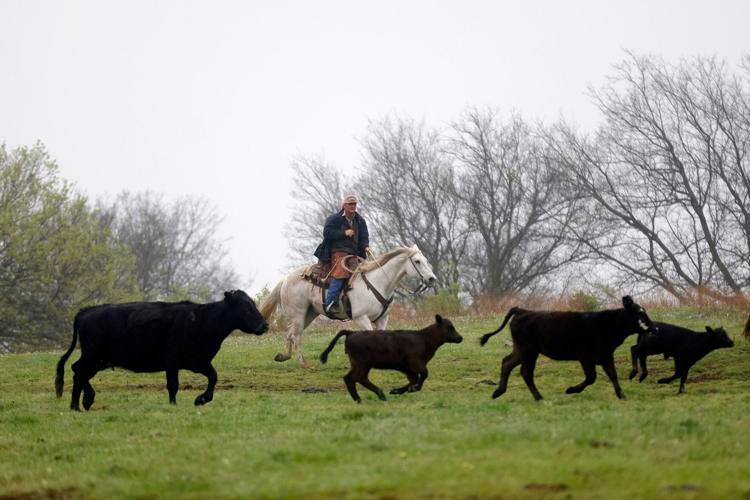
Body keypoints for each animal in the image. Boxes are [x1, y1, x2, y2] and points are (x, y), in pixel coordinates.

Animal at [55, 290, 268, 410]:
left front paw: (201, 399)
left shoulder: (199, 361)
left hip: (97, 360)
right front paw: (174, 406)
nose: (265, 325)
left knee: (77, 373)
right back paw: (86, 400)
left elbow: (213, 377)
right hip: (93, 354)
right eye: (246, 308)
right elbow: (173, 385)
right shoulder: (172, 360)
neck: (201, 320)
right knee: (78, 370)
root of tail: (86, 311)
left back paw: (75, 406)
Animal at [319, 315, 463, 403]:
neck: (424, 339)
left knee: (349, 378)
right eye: (449, 328)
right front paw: (412, 389)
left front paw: (397, 391)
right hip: (363, 363)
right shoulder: (415, 362)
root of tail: (351, 333)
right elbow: (423, 376)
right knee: (358, 378)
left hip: (356, 363)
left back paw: (358, 399)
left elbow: (414, 380)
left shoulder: (407, 368)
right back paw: (379, 394)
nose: (460, 338)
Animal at [479, 296, 655, 400]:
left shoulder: (606, 355)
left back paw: (499, 392)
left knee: (507, 363)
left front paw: (622, 395)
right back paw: (538, 397)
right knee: (525, 372)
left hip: (521, 350)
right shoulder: (585, 357)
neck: (607, 325)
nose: (654, 328)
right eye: (640, 314)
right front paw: (571, 390)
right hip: (528, 351)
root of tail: (523, 310)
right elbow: (591, 377)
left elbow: (613, 375)